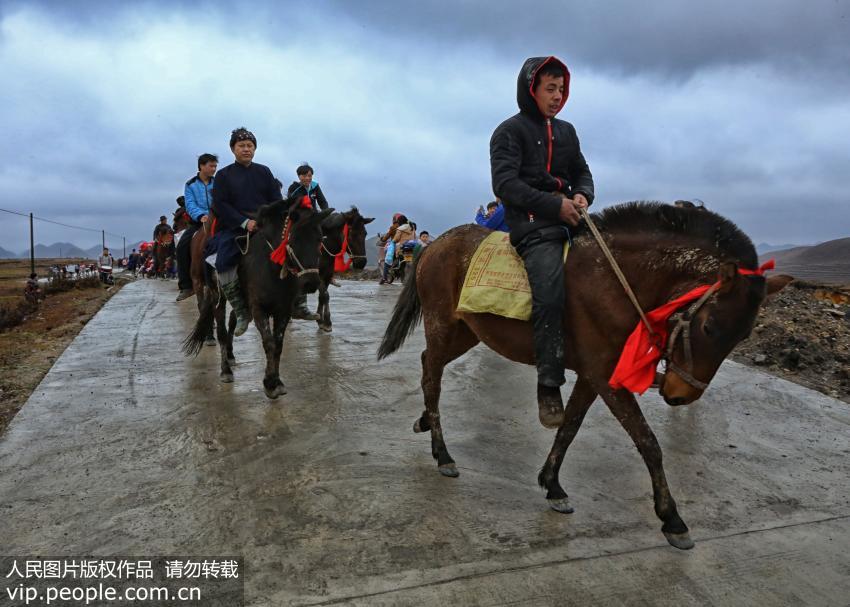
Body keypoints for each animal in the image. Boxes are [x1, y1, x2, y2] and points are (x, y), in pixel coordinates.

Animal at [378, 203, 788, 552]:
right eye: (709, 326)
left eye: (744, 336)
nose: (680, 394)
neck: (616, 281)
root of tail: (433, 246)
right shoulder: (605, 375)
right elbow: (648, 442)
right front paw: (672, 519)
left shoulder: (592, 376)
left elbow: (570, 427)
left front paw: (553, 485)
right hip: (443, 324)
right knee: (432, 376)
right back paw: (443, 454)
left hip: (467, 330)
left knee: (429, 365)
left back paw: (425, 425)